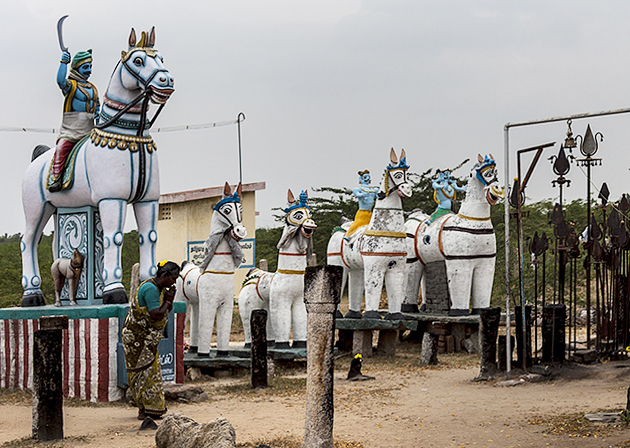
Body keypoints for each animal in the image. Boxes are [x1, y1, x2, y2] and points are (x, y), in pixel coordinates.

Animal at [178, 183, 249, 356]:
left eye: (241, 210)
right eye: (227, 210)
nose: (241, 231)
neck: (220, 272)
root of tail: (185, 266)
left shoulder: (226, 304)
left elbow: (223, 330)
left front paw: (222, 353)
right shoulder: (209, 303)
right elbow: (206, 327)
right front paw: (203, 354)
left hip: (196, 302)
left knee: (195, 320)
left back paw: (193, 349)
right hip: (182, 300)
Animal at [238, 191, 316, 348]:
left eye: (310, 213)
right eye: (298, 215)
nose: (311, 224)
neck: (292, 273)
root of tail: (251, 276)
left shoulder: (299, 301)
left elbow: (299, 319)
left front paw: (300, 344)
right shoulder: (281, 301)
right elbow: (282, 320)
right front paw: (282, 345)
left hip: (265, 305)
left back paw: (269, 343)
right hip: (247, 304)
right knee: (247, 323)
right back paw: (249, 345)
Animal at [328, 149, 412, 320]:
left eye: (408, 174)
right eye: (397, 175)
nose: (408, 190)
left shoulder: (397, 265)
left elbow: (395, 291)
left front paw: (395, 316)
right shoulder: (375, 265)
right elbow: (373, 288)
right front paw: (372, 315)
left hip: (356, 266)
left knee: (356, 282)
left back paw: (353, 314)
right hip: (336, 263)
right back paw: (338, 315)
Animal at [408, 154, 506, 316]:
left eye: (496, 172)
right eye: (487, 173)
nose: (497, 190)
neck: (473, 220)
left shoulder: (486, 262)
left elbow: (483, 287)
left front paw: (479, 311)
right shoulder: (458, 261)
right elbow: (459, 286)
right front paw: (459, 312)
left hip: (424, 259)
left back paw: (423, 307)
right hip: (410, 259)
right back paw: (408, 308)